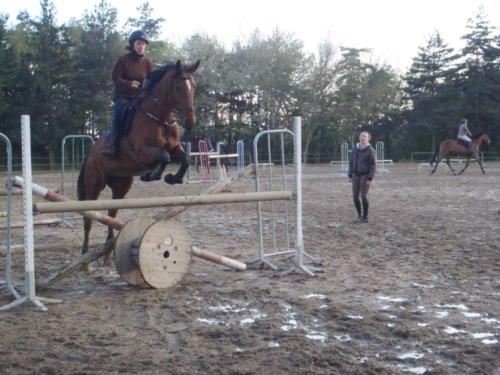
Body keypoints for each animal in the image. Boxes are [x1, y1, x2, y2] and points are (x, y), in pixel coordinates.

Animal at [76, 59, 199, 268]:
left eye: (194, 87)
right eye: (179, 87)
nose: (190, 122)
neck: (161, 118)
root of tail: (90, 153)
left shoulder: (176, 148)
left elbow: (184, 159)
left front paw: (173, 178)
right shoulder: (142, 151)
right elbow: (164, 156)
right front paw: (153, 174)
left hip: (121, 186)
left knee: (111, 214)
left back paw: (107, 254)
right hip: (94, 184)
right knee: (89, 216)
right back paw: (84, 257)